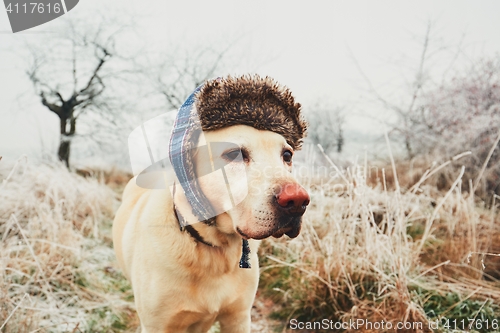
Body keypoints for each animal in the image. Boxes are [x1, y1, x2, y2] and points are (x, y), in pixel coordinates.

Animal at [112, 76, 308, 332]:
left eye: (287, 156)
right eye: (234, 154)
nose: (297, 201)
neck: (213, 248)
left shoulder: (238, 318)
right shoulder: (158, 325)